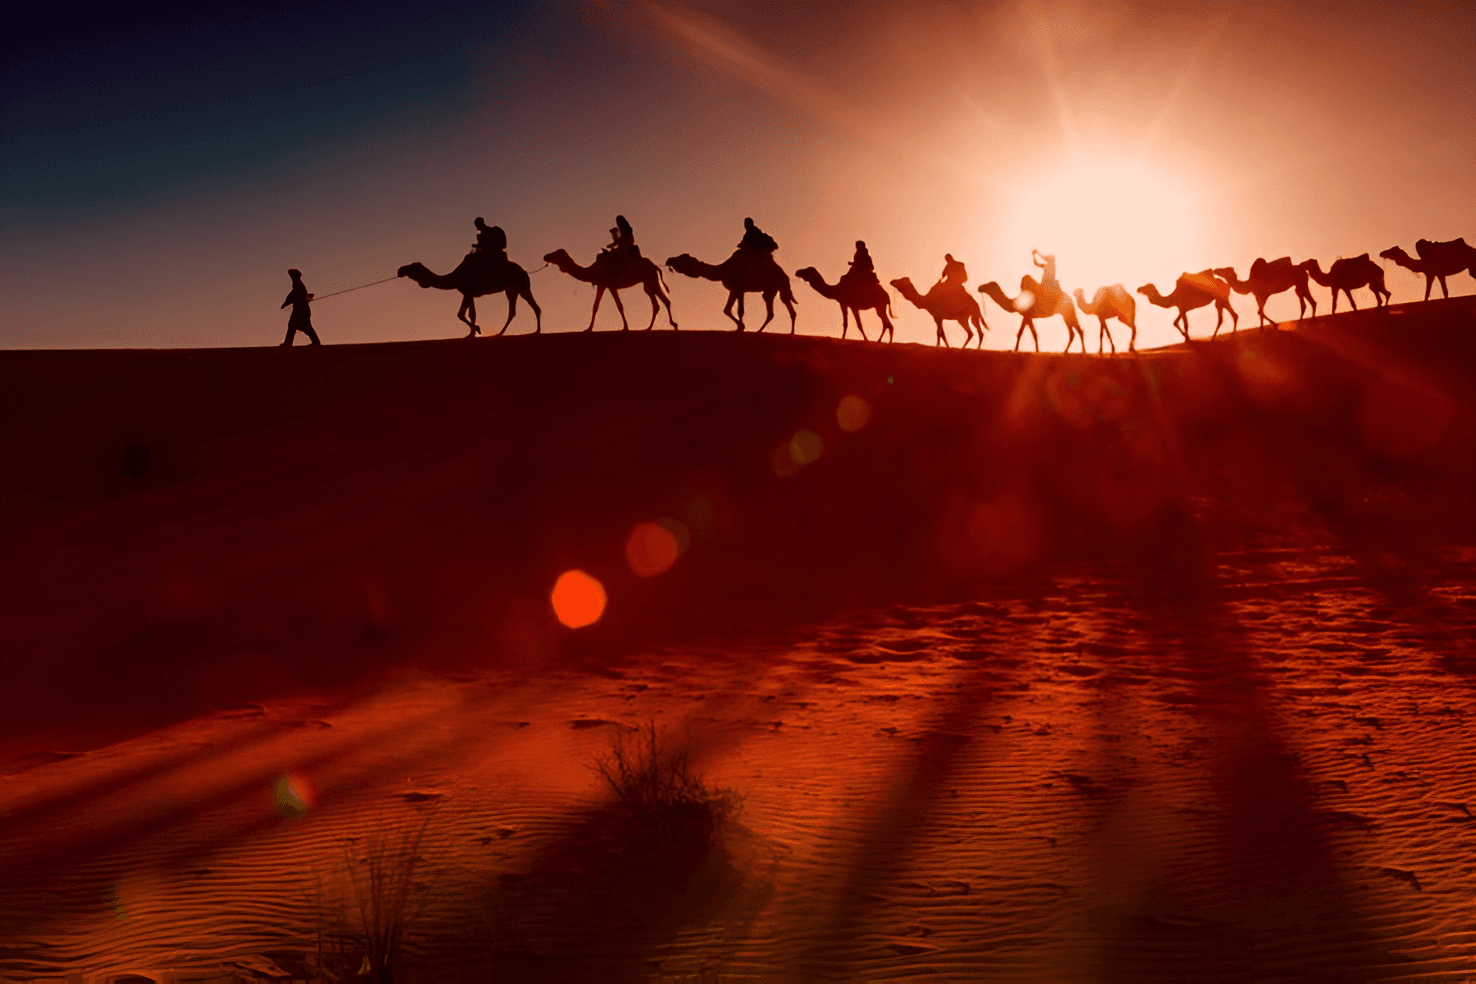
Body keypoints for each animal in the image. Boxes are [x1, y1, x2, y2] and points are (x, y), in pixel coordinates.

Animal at [398, 250, 543, 339]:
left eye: (413, 266)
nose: (400, 270)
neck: (455, 277)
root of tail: (524, 271)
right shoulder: (469, 293)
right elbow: (469, 314)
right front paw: (471, 334)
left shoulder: (468, 291)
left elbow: (462, 314)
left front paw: (477, 330)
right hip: (517, 289)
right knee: (529, 308)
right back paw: (532, 331)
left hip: (516, 287)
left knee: (518, 310)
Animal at [543, 247, 678, 333]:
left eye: (556, 253)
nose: (545, 256)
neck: (592, 271)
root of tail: (655, 266)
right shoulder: (607, 285)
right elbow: (611, 306)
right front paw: (625, 327)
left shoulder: (605, 284)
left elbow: (604, 306)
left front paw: (589, 329)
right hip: (648, 283)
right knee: (658, 304)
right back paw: (649, 327)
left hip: (650, 279)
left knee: (663, 302)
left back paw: (672, 324)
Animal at [664, 250, 797, 334]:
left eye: (683, 258)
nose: (668, 259)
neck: (723, 270)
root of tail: (785, 274)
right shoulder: (733, 290)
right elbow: (726, 309)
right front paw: (739, 327)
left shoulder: (740, 288)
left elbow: (740, 310)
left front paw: (742, 327)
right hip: (773, 289)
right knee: (779, 309)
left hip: (779, 286)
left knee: (781, 306)